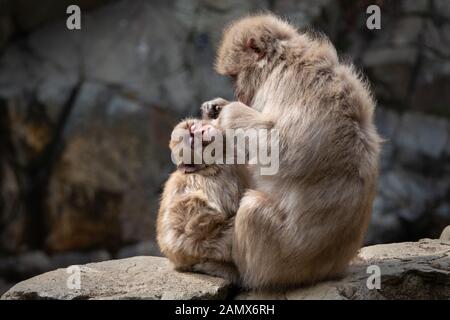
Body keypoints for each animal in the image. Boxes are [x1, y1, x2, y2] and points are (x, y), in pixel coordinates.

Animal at [156, 117, 250, 282]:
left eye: (193, 129)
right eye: (193, 140)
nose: (202, 131)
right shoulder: (225, 170)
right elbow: (202, 217)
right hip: (208, 247)